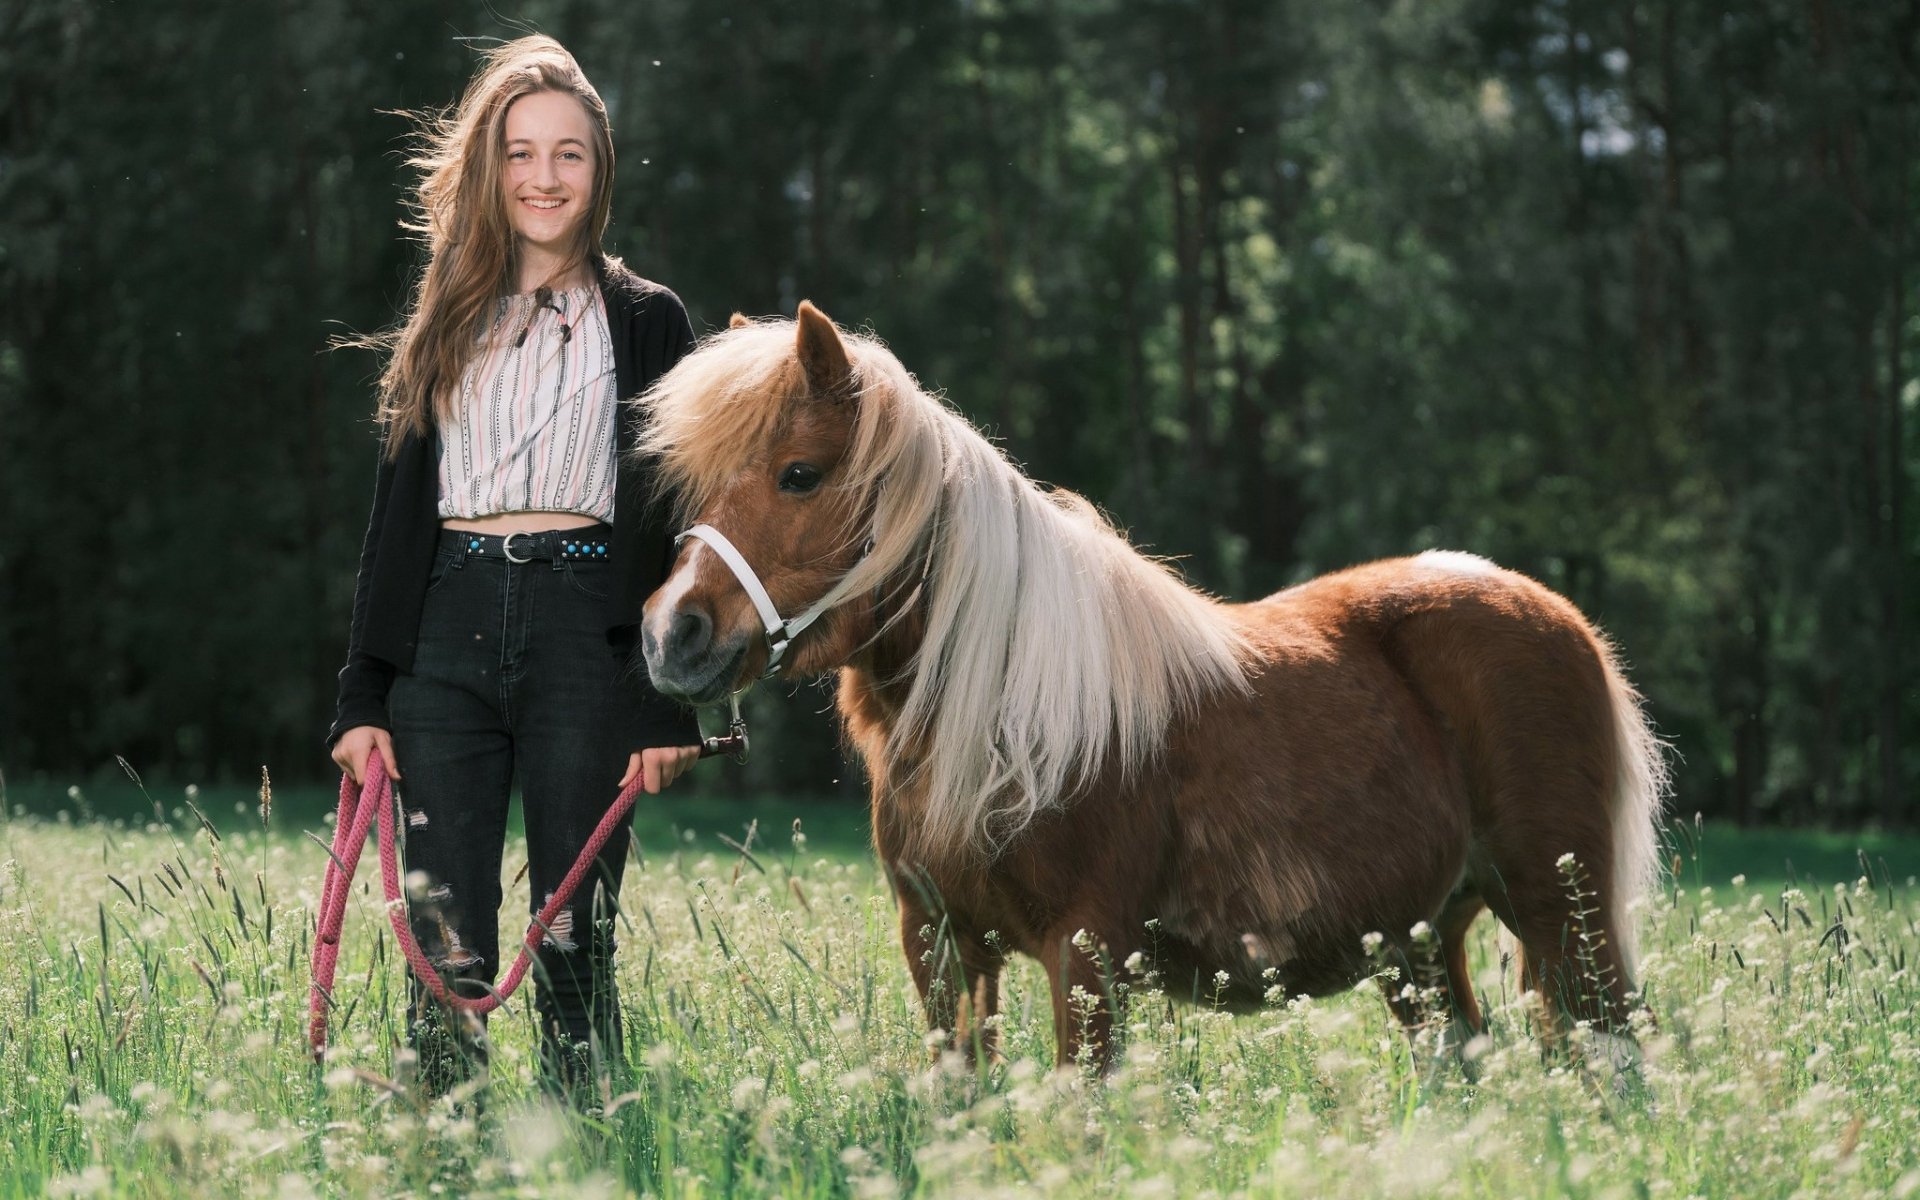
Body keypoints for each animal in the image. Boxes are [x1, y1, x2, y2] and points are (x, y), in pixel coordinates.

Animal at [635, 302, 1667, 1074]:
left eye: (799, 474)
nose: (672, 633)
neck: (1005, 712)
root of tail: (1555, 615)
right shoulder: (940, 945)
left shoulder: (1085, 953)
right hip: (1418, 944)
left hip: (1562, 921)